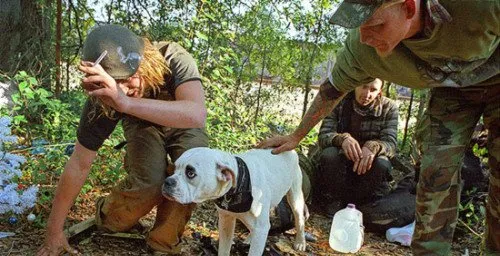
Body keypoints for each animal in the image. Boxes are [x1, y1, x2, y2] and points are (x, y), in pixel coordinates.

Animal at [162, 147, 306, 255]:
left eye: (190, 173)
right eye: (175, 168)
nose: (167, 181)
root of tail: (291, 150)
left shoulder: (259, 228)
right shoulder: (226, 221)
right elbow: (224, 249)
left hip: (295, 199)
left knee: (299, 220)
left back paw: (300, 242)